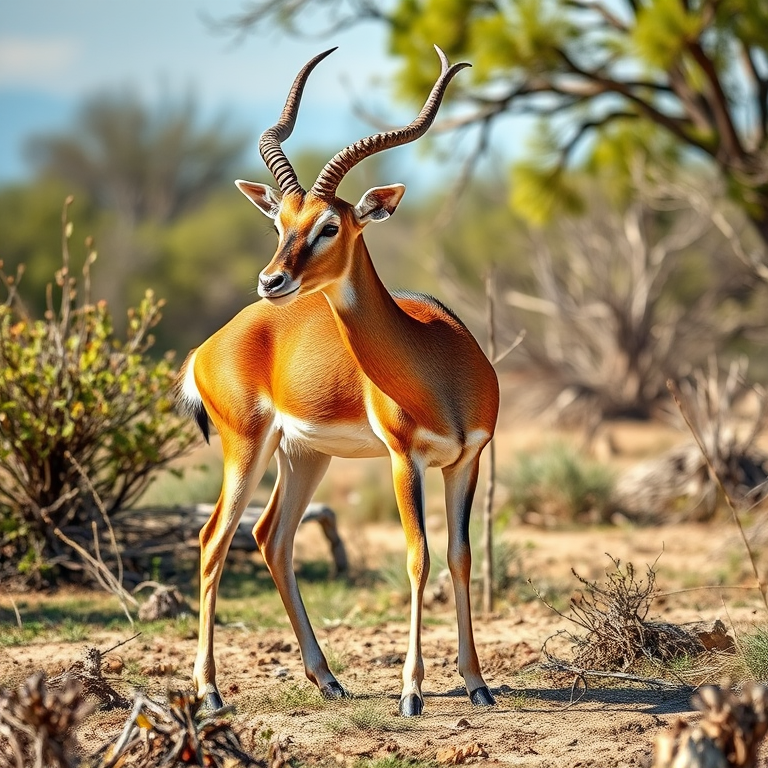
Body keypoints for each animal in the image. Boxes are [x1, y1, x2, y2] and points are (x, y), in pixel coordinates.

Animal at [177, 46, 499, 717]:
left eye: (329, 225)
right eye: (279, 223)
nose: (271, 280)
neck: (439, 364)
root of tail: (210, 343)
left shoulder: (467, 459)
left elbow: (459, 556)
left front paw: (477, 684)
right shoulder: (405, 459)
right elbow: (417, 557)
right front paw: (411, 693)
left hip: (304, 454)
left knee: (271, 537)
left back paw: (326, 678)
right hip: (247, 447)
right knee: (215, 537)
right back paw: (211, 693)